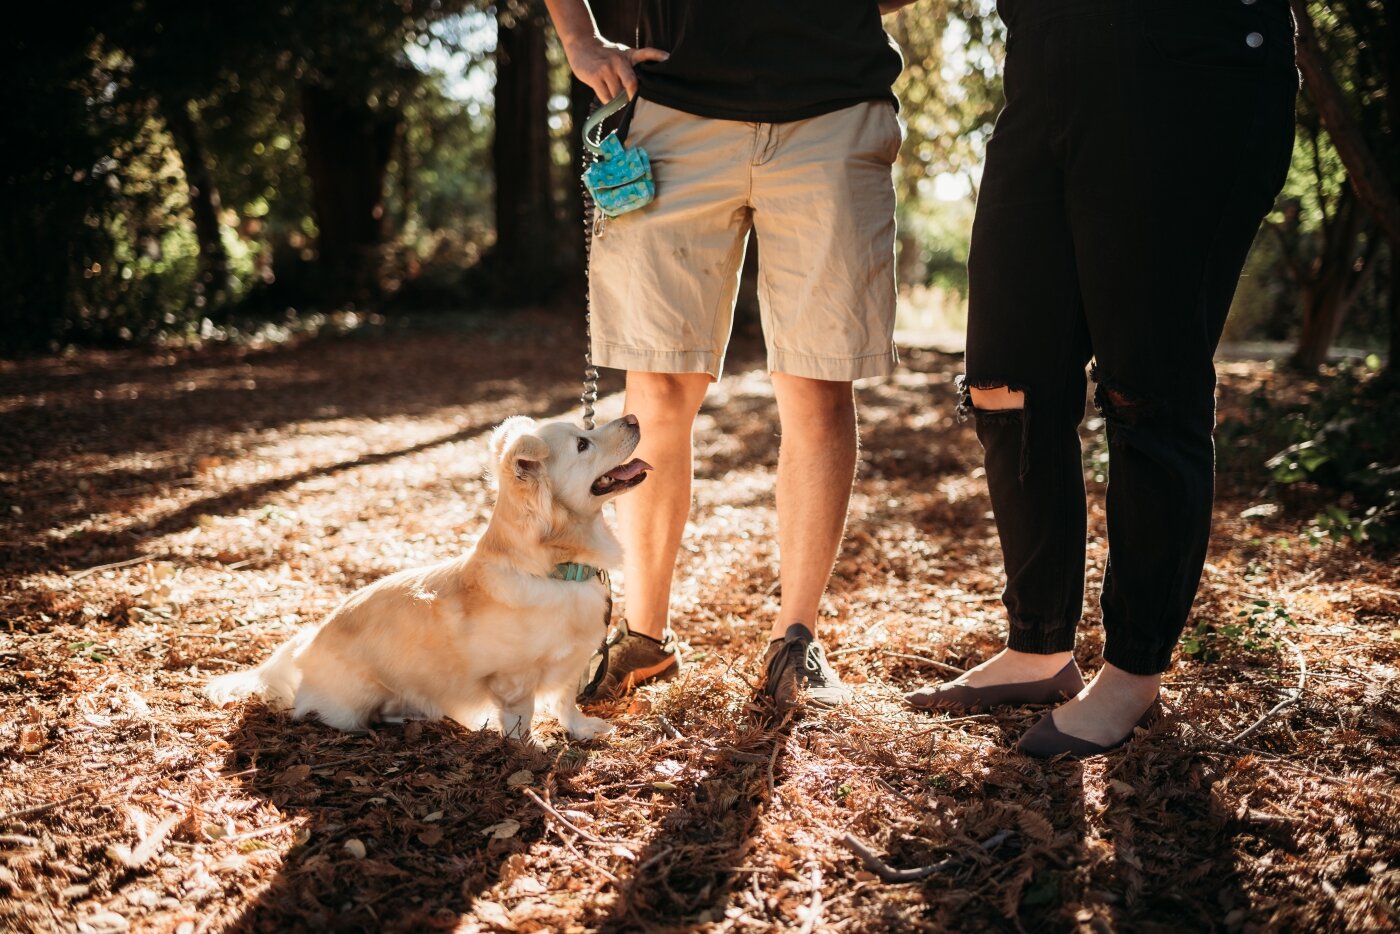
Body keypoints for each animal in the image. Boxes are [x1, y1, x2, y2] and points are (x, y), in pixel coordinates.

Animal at [204, 414, 652, 744]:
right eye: (582, 444)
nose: (633, 417)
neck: (557, 569)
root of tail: (304, 644)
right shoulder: (513, 679)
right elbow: (521, 718)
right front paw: (530, 750)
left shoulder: (572, 664)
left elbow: (565, 702)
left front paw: (581, 729)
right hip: (355, 701)